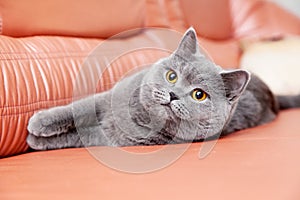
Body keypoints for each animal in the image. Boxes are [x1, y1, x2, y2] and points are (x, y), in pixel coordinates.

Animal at [26, 27, 300, 150]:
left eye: (199, 95)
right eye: (171, 76)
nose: (173, 94)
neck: (138, 115)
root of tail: (272, 94)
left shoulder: (118, 139)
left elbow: (81, 135)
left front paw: (34, 139)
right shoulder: (107, 98)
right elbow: (77, 108)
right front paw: (41, 123)